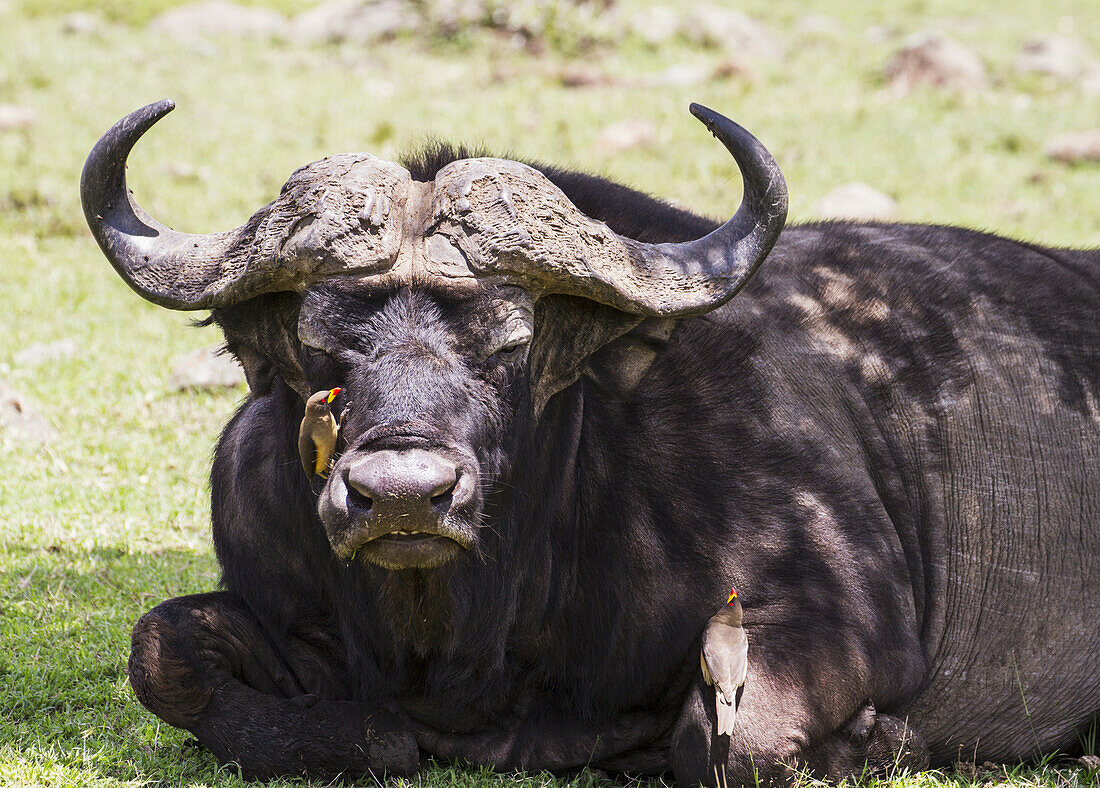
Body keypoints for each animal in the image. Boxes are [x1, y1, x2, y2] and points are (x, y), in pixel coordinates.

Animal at [83, 101, 1100, 783]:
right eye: (319, 350)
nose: (404, 496)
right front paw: (367, 734)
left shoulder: (845, 623)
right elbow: (161, 650)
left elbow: (728, 744)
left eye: (509, 346)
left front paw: (875, 740)